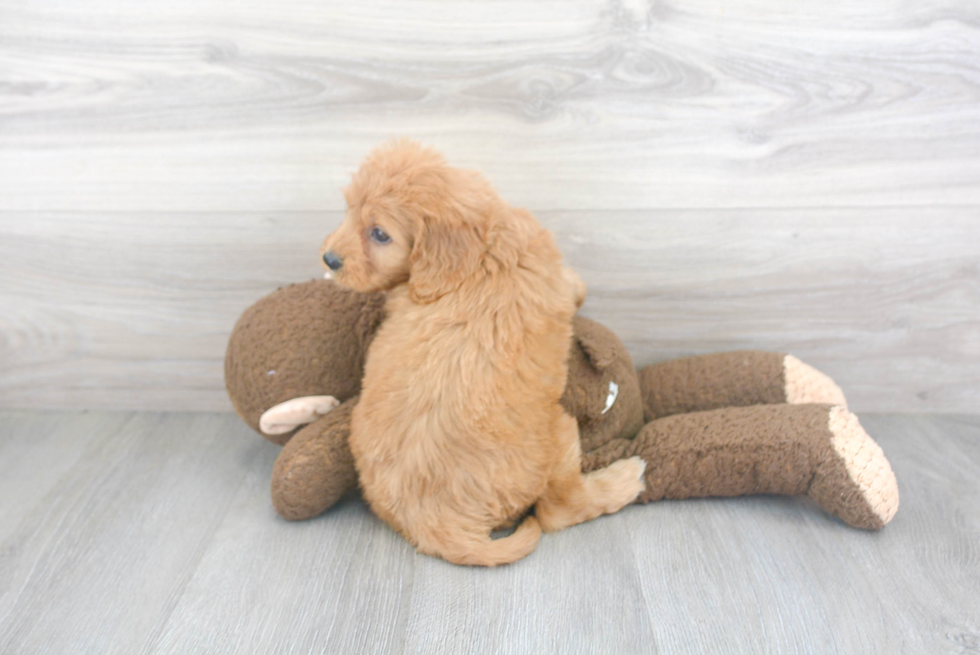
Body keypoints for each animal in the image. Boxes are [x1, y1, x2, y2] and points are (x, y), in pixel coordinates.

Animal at [320, 141, 644, 568]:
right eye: (348, 210)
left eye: (378, 234)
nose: (329, 259)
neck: (478, 255)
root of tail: (430, 522)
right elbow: (574, 287)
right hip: (559, 432)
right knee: (558, 511)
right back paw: (623, 481)